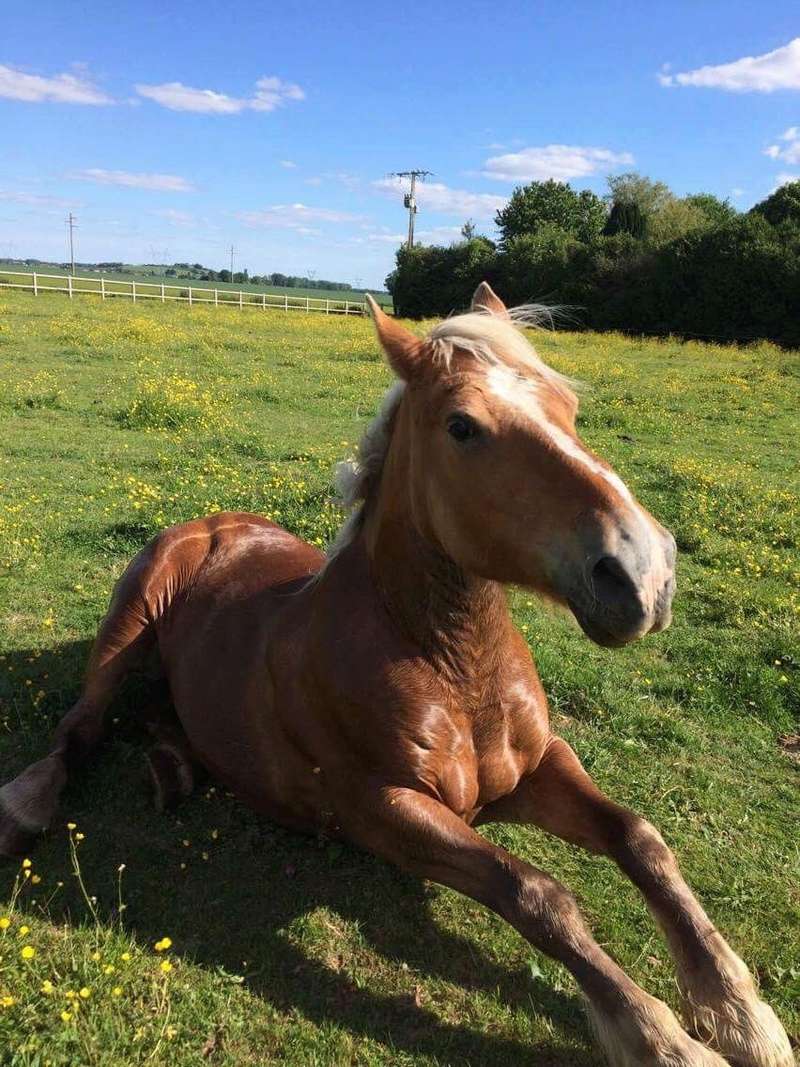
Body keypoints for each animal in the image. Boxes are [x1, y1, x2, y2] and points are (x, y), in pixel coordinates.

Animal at [1, 285, 797, 1067]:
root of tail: (212, 523)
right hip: (125, 624)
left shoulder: (537, 765)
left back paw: (174, 768)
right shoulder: (383, 811)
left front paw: (740, 1013)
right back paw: (29, 804)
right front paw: (662, 1037)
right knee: (80, 725)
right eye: (463, 427)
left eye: (568, 407)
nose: (644, 573)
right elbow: (537, 892)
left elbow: (639, 838)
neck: (454, 670)